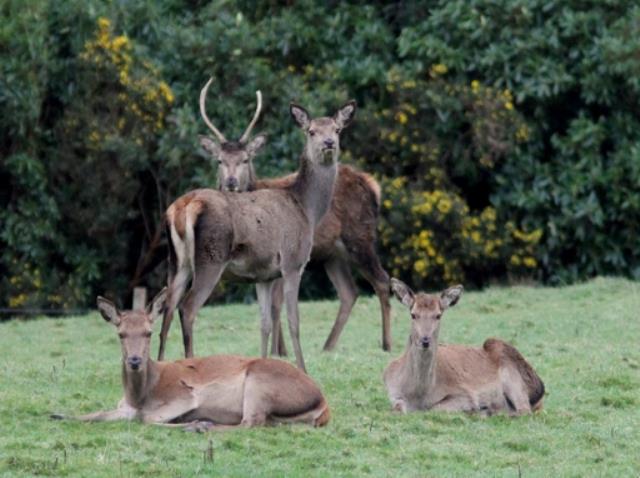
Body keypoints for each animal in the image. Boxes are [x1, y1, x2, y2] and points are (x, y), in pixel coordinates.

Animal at [52, 289, 330, 430]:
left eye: (148, 332)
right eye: (121, 334)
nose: (134, 360)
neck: (139, 395)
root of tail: (323, 402)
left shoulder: (184, 395)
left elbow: (148, 419)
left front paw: (192, 421)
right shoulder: (124, 407)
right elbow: (98, 413)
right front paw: (57, 414)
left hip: (260, 383)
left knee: (250, 422)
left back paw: (201, 425)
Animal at [157, 80, 357, 372]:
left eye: (337, 129)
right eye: (311, 131)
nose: (329, 143)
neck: (307, 209)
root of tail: (184, 207)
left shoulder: (263, 275)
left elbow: (263, 324)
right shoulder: (293, 262)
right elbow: (293, 321)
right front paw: (303, 369)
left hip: (176, 262)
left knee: (168, 307)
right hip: (210, 259)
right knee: (188, 308)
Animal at [203, 85, 391, 355]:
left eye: (245, 159)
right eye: (219, 160)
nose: (231, 182)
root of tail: (372, 185)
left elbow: (275, 304)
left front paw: (278, 351)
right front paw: (280, 350)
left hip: (360, 237)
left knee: (382, 280)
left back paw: (386, 344)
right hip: (332, 253)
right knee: (349, 292)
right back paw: (328, 346)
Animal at [384, 278, 545, 415]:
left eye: (438, 315)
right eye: (413, 314)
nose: (425, 340)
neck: (418, 396)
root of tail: (541, 389)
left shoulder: (465, 394)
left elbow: (434, 408)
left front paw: (477, 409)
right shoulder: (393, 393)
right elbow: (397, 408)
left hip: (510, 369)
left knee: (523, 410)